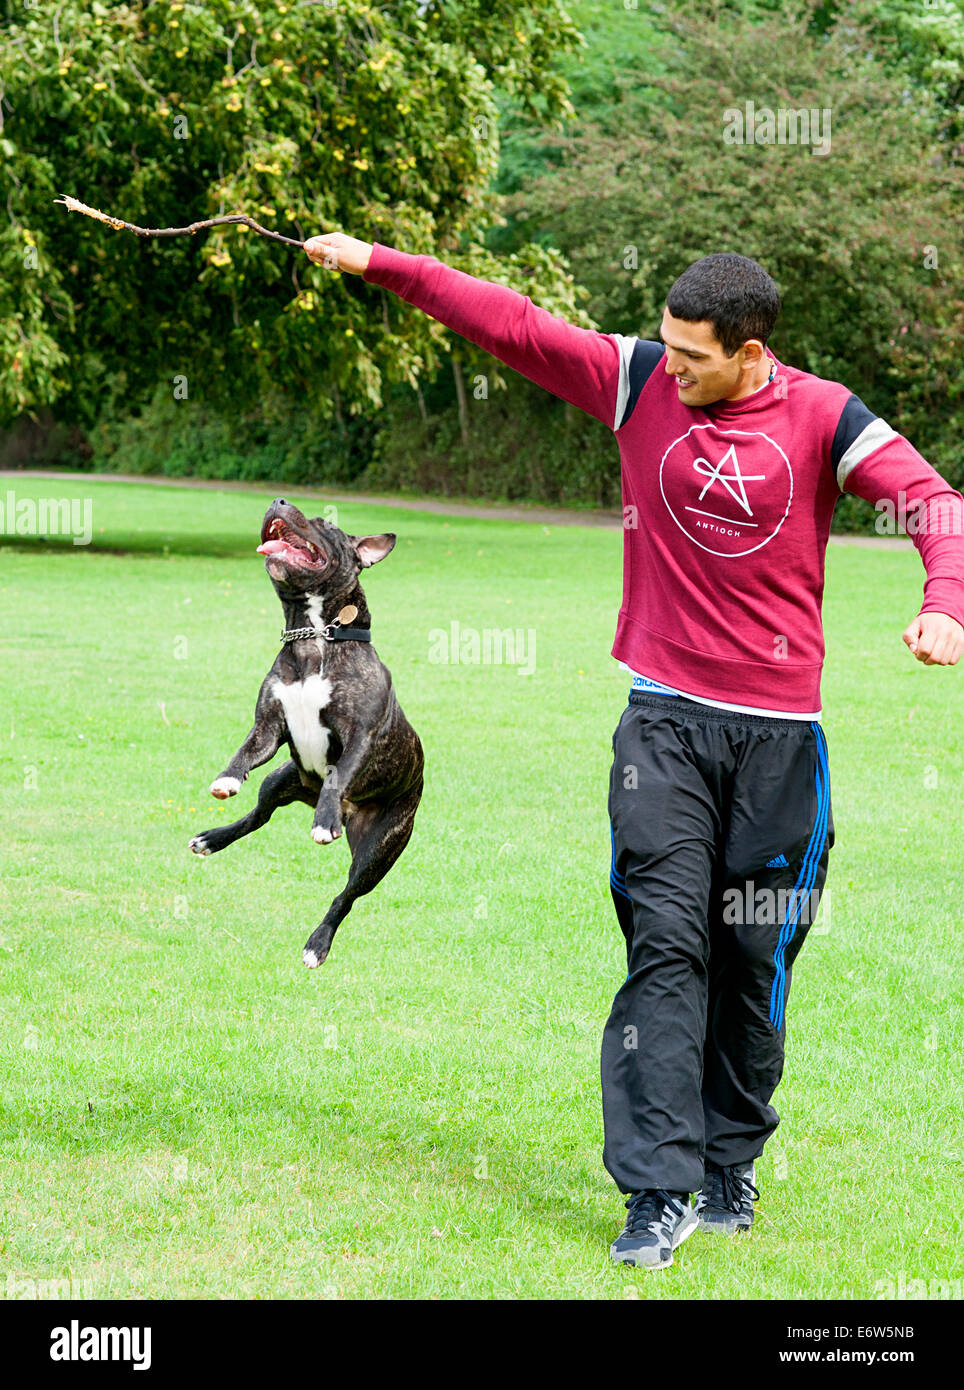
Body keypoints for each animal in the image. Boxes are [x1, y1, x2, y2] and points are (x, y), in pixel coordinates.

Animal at [190, 500, 425, 967]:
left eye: (325, 524)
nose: (278, 501)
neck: (314, 634)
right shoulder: (268, 728)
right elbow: (244, 752)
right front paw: (227, 779)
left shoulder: (361, 737)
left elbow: (338, 775)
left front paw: (323, 823)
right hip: (278, 779)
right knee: (257, 817)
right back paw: (212, 839)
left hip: (379, 851)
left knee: (346, 896)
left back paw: (318, 943)